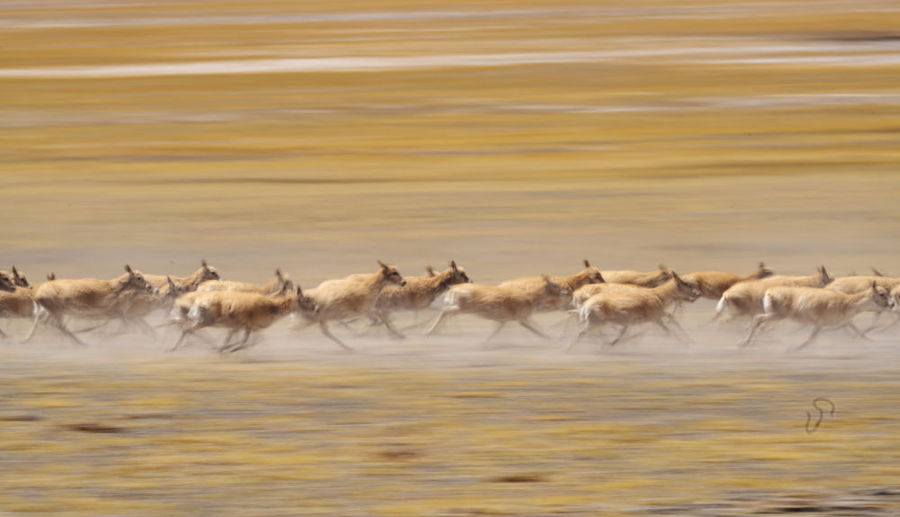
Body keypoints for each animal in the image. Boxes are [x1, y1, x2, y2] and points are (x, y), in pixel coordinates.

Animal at [24, 265, 154, 345]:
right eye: (139, 277)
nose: (151, 288)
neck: (111, 288)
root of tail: (37, 295)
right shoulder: (111, 313)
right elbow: (123, 327)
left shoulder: (114, 314)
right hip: (57, 311)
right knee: (59, 326)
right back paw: (82, 343)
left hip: (51, 311)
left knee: (45, 323)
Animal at [171, 284, 317, 353]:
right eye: (306, 299)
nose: (315, 307)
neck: (271, 306)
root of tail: (198, 301)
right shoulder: (247, 326)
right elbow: (246, 341)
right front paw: (229, 349)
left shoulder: (246, 327)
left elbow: (250, 341)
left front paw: (226, 348)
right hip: (204, 321)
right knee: (187, 329)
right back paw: (174, 348)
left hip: (200, 321)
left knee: (187, 328)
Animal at [425, 276, 569, 343]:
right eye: (555, 285)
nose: (566, 291)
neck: (530, 297)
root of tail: (454, 289)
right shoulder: (521, 318)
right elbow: (537, 329)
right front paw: (552, 338)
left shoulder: (504, 320)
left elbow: (494, 332)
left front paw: (485, 343)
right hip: (461, 308)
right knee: (444, 311)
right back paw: (428, 332)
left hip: (459, 309)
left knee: (445, 312)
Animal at [569, 272, 701, 349]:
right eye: (685, 283)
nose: (698, 294)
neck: (657, 295)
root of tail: (578, 294)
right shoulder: (655, 318)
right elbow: (668, 328)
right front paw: (686, 343)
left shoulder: (656, 317)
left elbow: (671, 322)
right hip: (594, 322)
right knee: (584, 331)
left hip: (593, 321)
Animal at [739, 282, 894, 349]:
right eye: (882, 294)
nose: (891, 305)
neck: (847, 302)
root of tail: (769, 291)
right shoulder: (819, 324)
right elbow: (811, 338)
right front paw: (796, 348)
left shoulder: (844, 322)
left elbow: (859, 332)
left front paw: (872, 342)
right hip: (776, 315)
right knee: (757, 319)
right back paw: (744, 342)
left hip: (773, 316)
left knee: (761, 324)